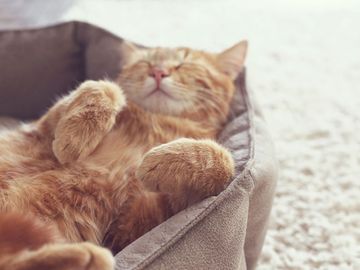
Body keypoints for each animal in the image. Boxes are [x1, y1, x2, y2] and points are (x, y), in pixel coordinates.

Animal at [0, 40, 248, 270]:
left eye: (184, 63)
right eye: (145, 63)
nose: (158, 72)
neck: (155, 121)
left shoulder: (135, 222)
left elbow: (223, 159)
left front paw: (161, 159)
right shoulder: (41, 132)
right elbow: (104, 87)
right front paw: (76, 136)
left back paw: (85, 258)